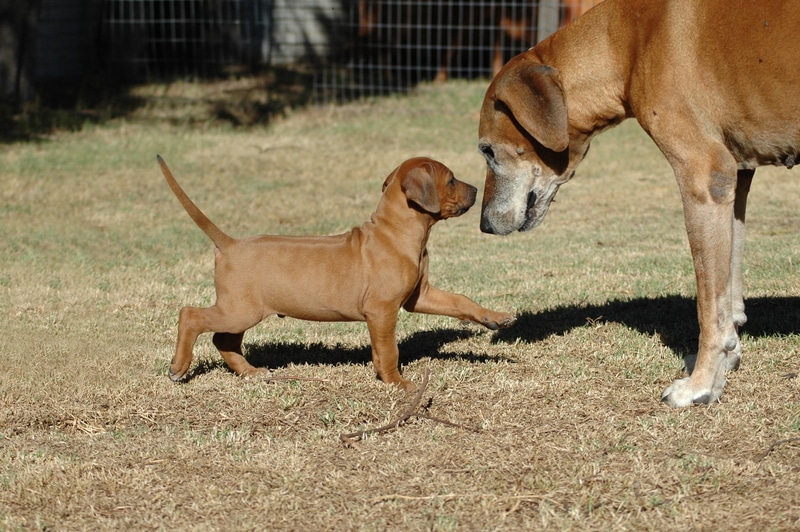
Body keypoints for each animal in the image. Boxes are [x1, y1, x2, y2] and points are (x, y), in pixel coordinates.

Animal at [159, 154, 516, 390]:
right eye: (452, 180)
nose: (476, 191)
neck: (396, 232)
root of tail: (230, 244)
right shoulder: (382, 310)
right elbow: (389, 350)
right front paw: (397, 383)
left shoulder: (419, 296)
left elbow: (461, 300)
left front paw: (495, 318)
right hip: (239, 309)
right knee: (190, 315)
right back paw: (179, 366)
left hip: (242, 309)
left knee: (223, 339)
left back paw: (251, 372)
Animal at [478, 1, 796, 408]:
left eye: (487, 151)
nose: (484, 224)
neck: (627, 42)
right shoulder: (736, 177)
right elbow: (728, 297)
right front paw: (726, 361)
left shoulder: (704, 177)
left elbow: (708, 307)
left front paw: (701, 384)